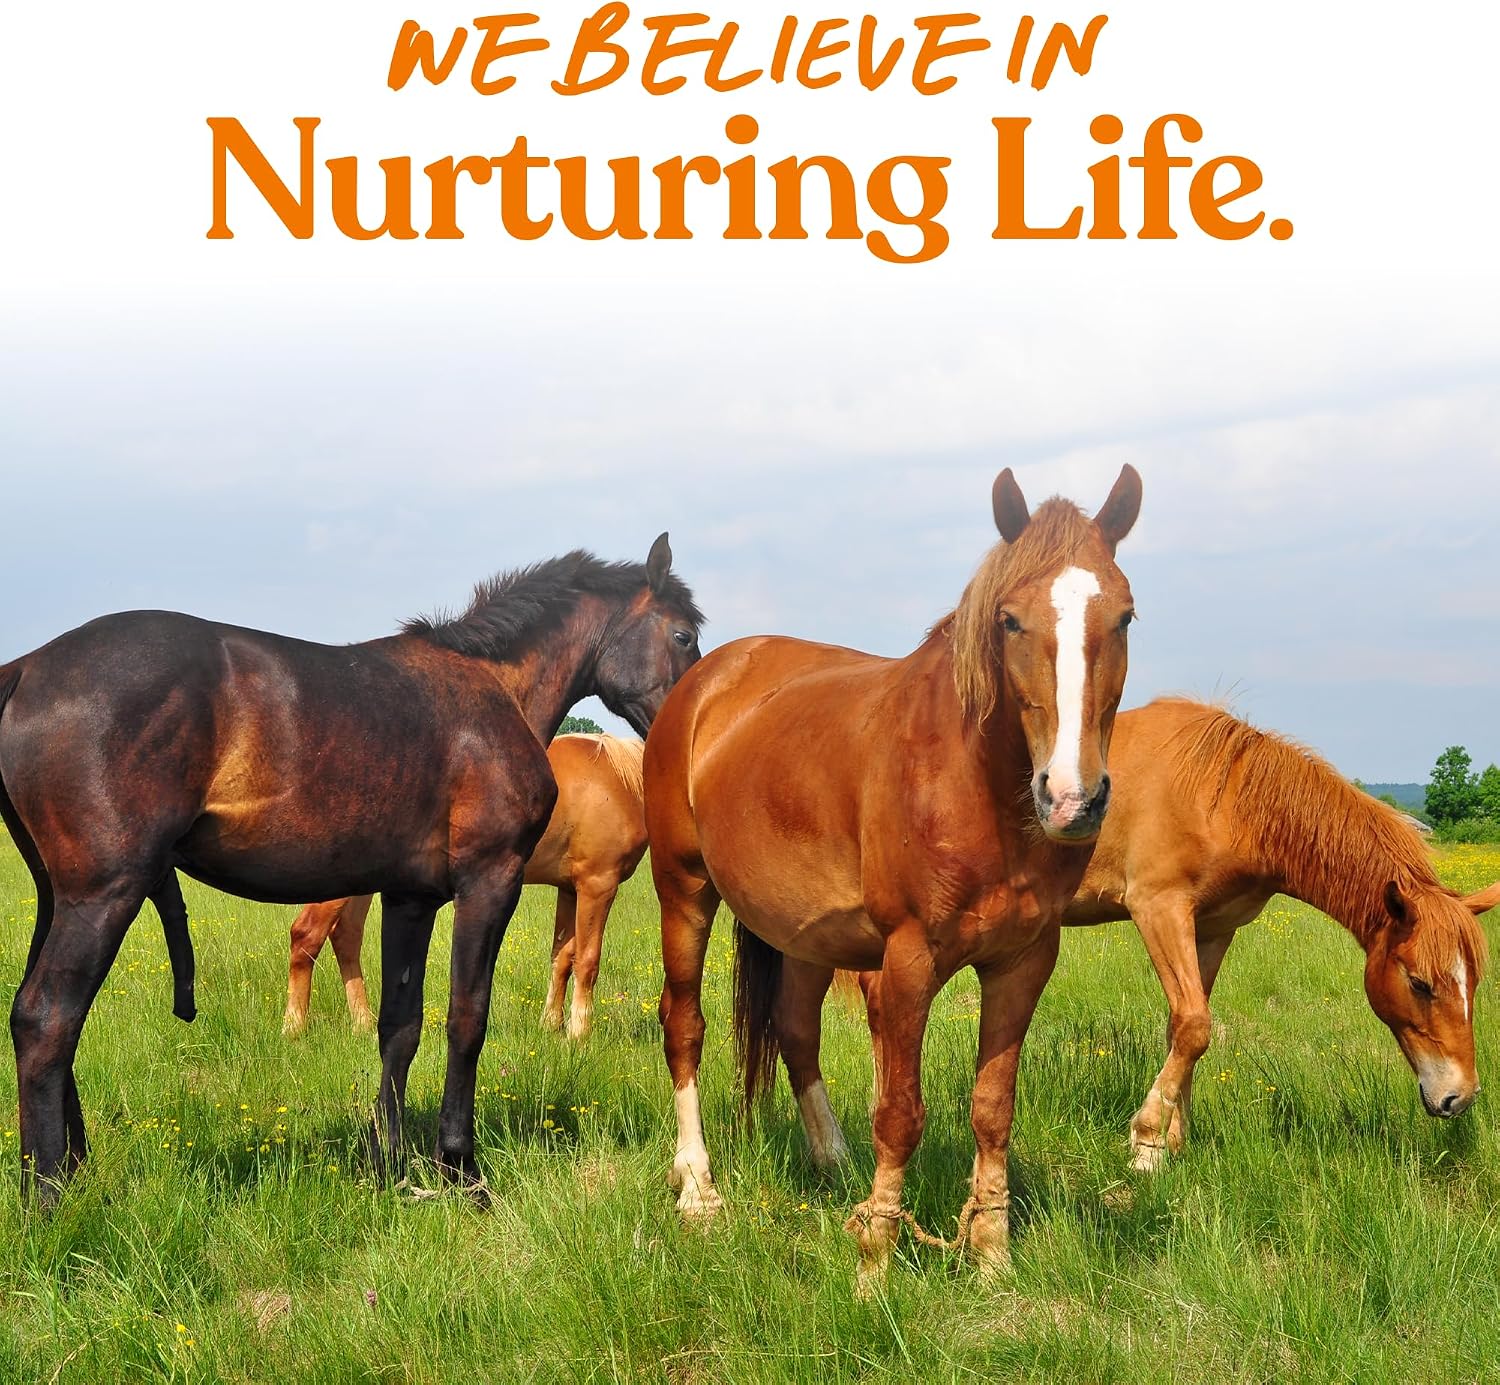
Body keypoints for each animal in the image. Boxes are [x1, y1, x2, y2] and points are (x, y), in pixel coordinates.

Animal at [281, 733, 647, 1041]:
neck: (620, 780)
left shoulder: (569, 889)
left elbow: (562, 958)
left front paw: (551, 1025)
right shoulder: (597, 885)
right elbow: (587, 960)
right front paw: (578, 1034)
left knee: (346, 937)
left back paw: (364, 1024)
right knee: (307, 934)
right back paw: (294, 1028)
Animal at [644, 466, 1141, 1283]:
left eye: (1126, 616)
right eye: (1009, 621)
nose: (1072, 796)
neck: (971, 783)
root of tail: (704, 679)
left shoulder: (1024, 961)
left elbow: (992, 1108)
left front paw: (992, 1254)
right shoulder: (908, 959)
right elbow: (901, 1110)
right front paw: (874, 1258)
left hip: (806, 933)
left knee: (794, 1029)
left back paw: (833, 1161)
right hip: (683, 887)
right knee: (683, 1025)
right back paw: (700, 1190)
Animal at [823, 699, 1496, 1170]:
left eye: (1473, 983)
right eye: (1420, 982)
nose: (1459, 1098)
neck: (1228, 796)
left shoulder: (1212, 930)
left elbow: (1189, 1026)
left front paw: (1177, 1139)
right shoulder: (1159, 908)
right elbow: (1195, 1023)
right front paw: (1146, 1144)